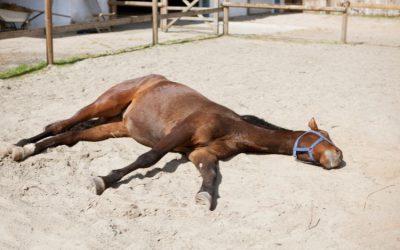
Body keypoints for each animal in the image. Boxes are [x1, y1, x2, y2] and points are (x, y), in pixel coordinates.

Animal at [0, 74, 344, 209]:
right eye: (323, 136)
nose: (338, 157)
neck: (231, 127)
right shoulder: (178, 134)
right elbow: (148, 159)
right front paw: (103, 180)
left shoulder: (202, 154)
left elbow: (211, 175)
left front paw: (204, 196)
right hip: (105, 104)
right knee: (61, 123)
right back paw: (19, 146)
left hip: (114, 126)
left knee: (69, 135)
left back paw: (27, 150)